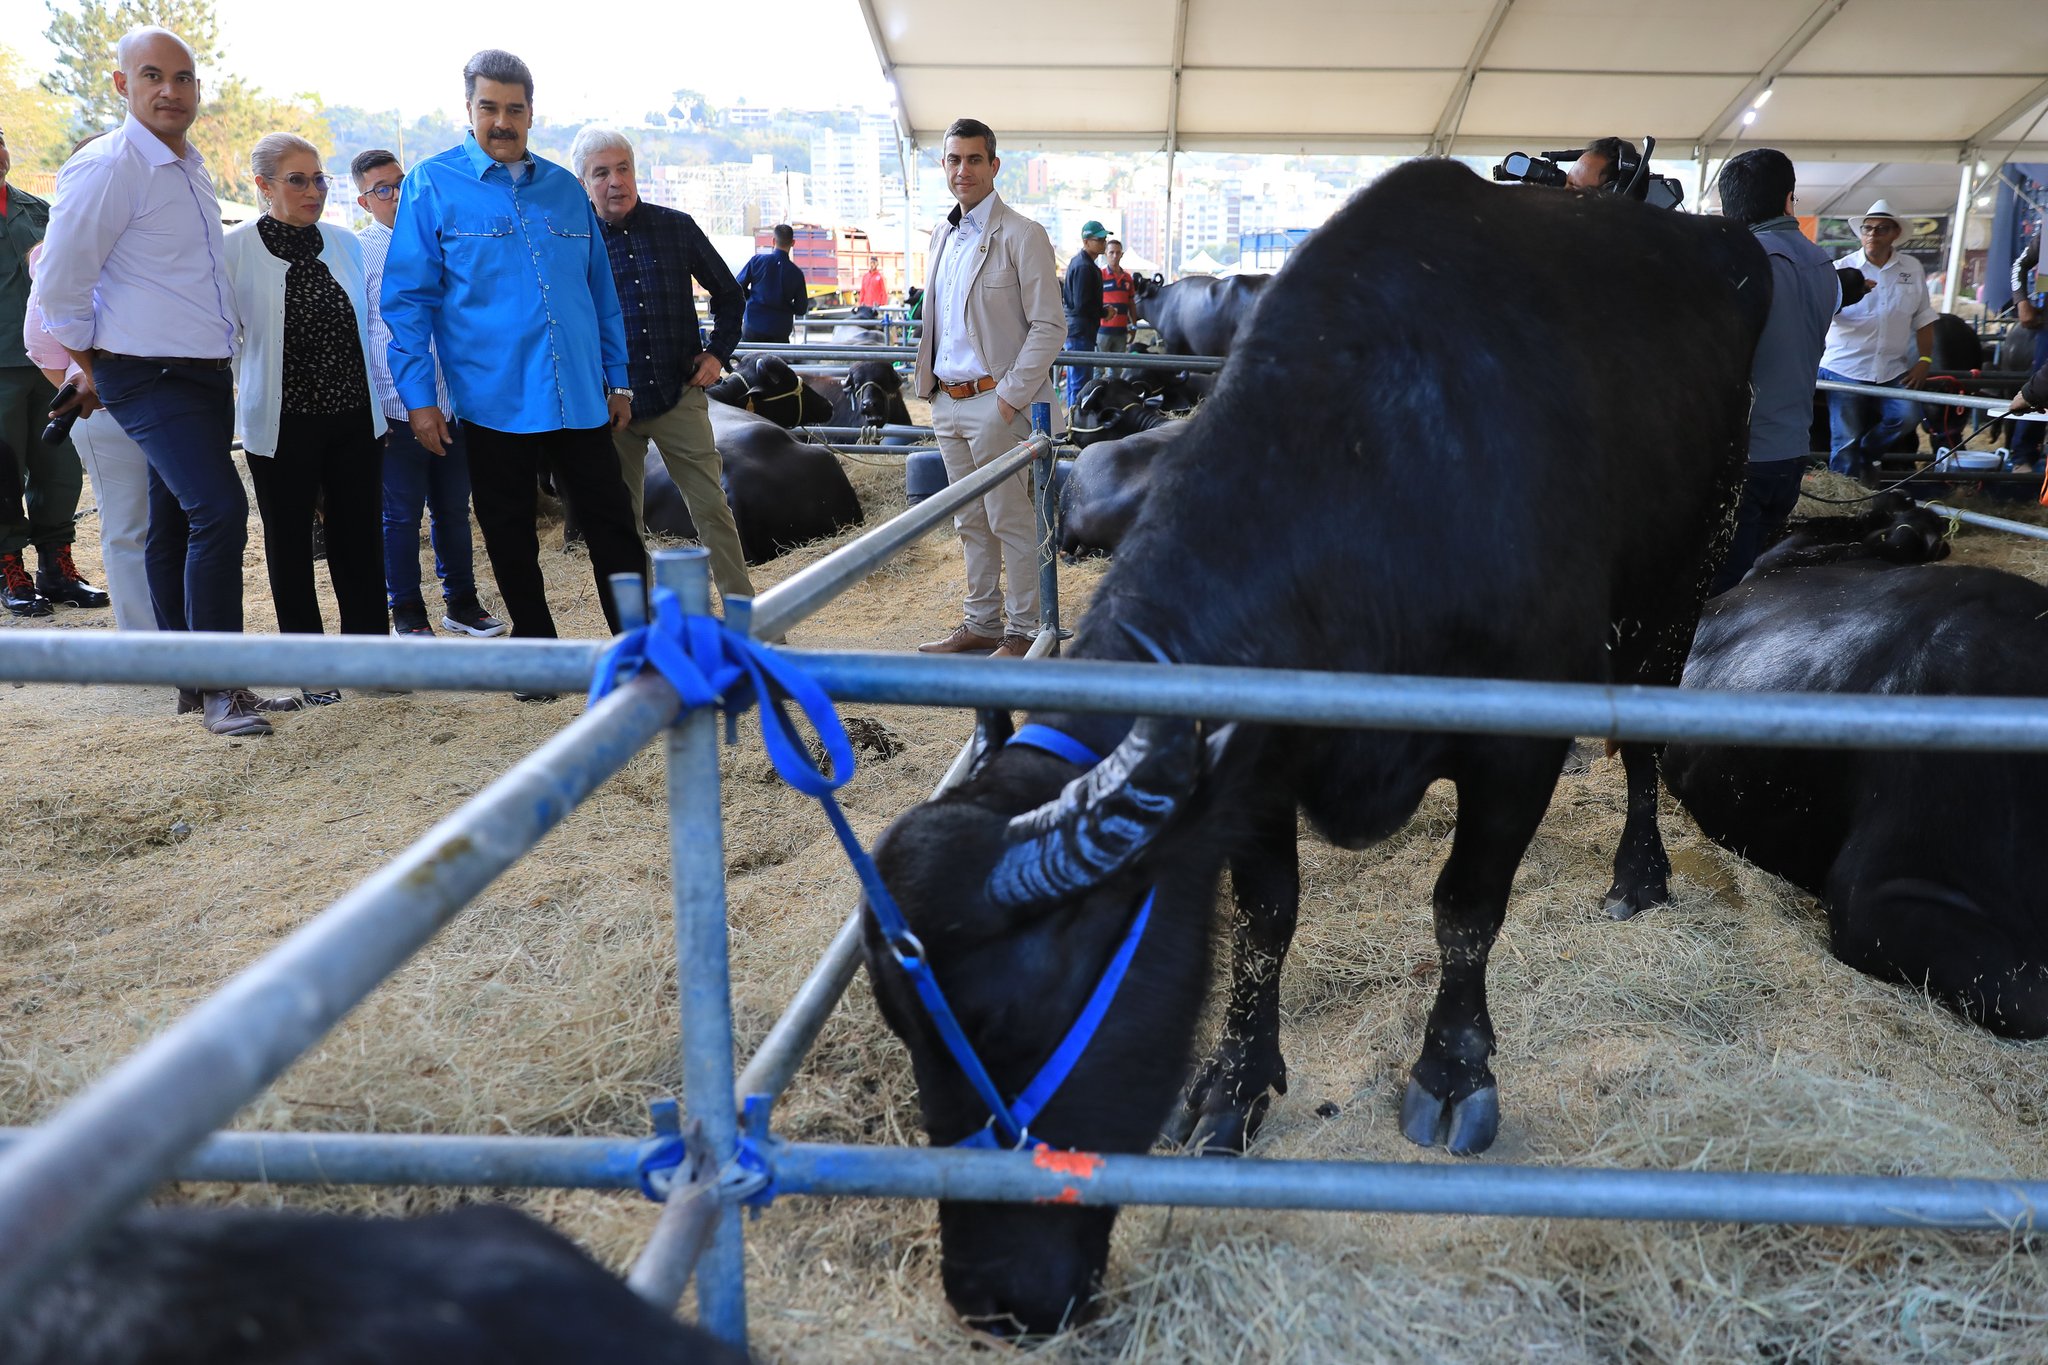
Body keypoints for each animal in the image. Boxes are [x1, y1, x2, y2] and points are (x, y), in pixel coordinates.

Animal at [856, 157, 1769, 1334]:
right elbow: (1264, 920)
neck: (1378, 483)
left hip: (1687, 563)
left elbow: (1465, 909)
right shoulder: (1254, 768)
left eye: (1023, 1014)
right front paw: (1234, 1083)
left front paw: (1452, 1074)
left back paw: (1638, 871)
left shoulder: (1512, 748)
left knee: (1649, 731)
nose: (991, 1299)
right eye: (900, 1026)